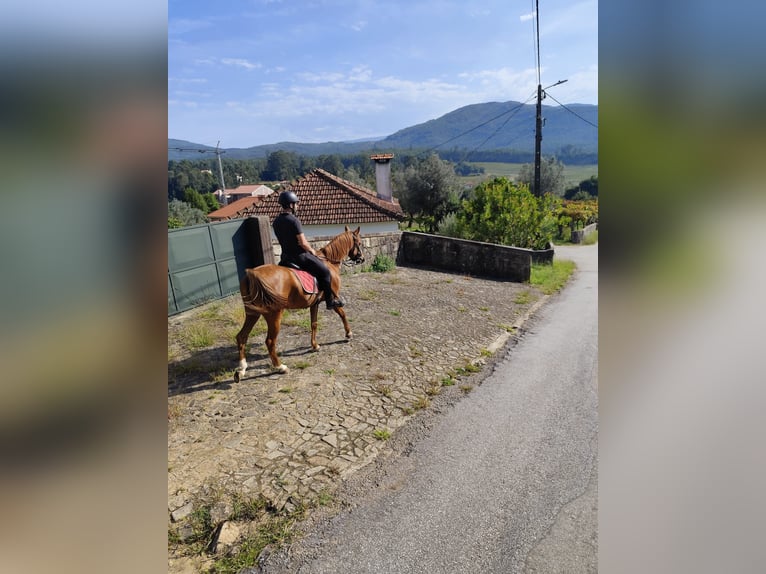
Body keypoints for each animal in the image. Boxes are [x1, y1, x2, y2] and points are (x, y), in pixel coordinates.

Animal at [234, 226, 364, 380]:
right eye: (359, 243)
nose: (362, 259)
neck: (329, 262)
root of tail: (253, 273)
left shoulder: (315, 303)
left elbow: (313, 324)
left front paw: (315, 346)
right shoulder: (332, 299)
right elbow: (342, 314)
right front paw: (348, 334)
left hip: (252, 313)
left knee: (242, 336)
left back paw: (241, 370)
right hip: (274, 315)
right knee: (270, 341)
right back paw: (280, 367)